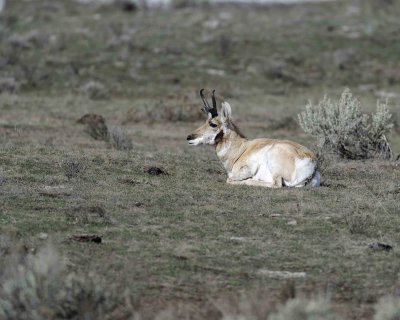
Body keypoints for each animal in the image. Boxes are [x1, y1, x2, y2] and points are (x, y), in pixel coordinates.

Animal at [188, 90, 322, 188]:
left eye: (213, 124)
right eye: (206, 121)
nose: (189, 137)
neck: (241, 149)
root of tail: (312, 162)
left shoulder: (248, 168)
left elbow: (229, 179)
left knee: (275, 184)